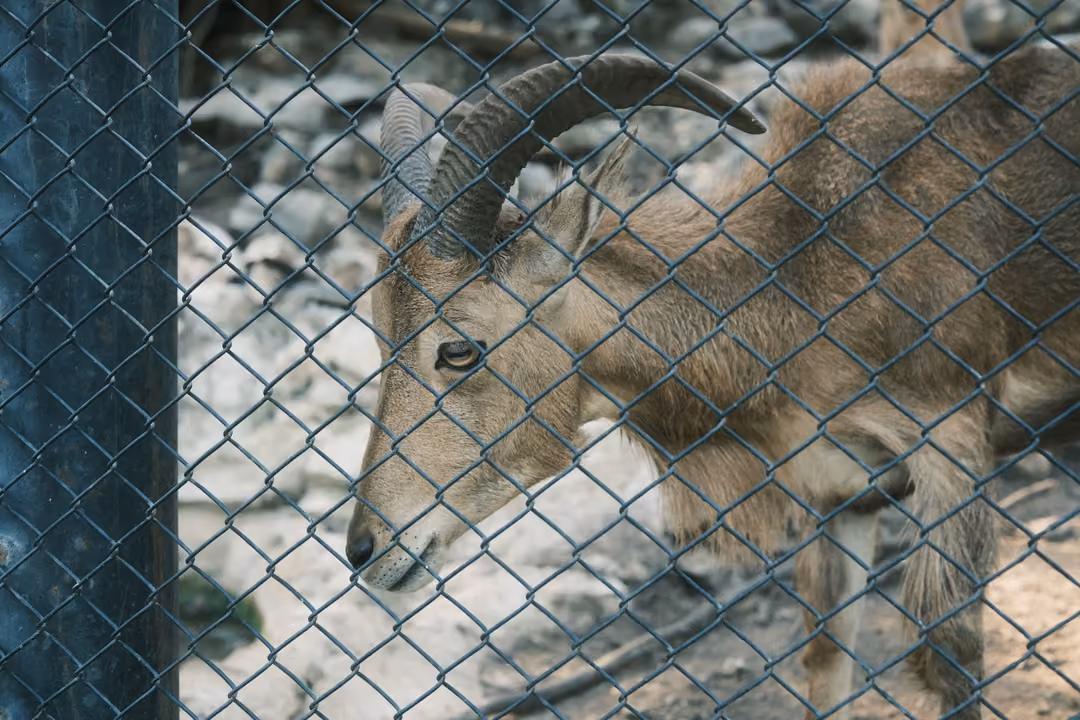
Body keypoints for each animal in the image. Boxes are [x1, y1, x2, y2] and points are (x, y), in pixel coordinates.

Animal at [343, 20, 1080, 720]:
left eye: (459, 349)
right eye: (381, 340)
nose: (365, 549)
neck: (811, 274)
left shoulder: (952, 448)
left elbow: (952, 657)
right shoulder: (841, 489)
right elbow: (827, 655)